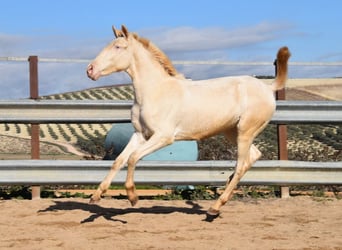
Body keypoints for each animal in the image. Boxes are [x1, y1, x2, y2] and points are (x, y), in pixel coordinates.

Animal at [87, 24, 290, 219]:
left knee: (241, 164)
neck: (155, 91)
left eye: (118, 47)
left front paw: (132, 197)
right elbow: (119, 160)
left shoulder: (163, 137)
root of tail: (268, 88)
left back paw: (215, 207)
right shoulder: (140, 135)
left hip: (245, 131)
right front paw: (96, 196)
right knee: (253, 156)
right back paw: (223, 192)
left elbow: (133, 158)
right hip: (233, 132)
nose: (90, 70)